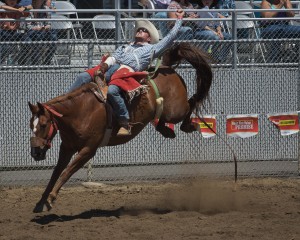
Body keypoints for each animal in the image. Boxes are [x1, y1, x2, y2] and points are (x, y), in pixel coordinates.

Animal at [27, 42, 211, 213]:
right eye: (31, 125)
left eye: (43, 124)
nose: (35, 153)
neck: (80, 111)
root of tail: (167, 68)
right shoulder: (66, 148)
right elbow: (56, 173)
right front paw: (40, 203)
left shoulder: (88, 150)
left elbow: (67, 172)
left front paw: (50, 199)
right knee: (165, 116)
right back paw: (165, 130)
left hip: (176, 110)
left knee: (192, 102)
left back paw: (188, 125)